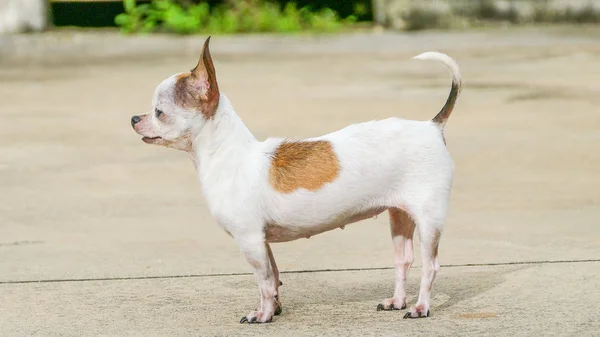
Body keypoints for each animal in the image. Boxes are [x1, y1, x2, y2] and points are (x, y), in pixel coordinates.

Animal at [131, 36, 464, 322]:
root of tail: (431, 126)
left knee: (430, 266)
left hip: (429, 219)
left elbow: (263, 281)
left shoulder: (250, 241)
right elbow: (274, 277)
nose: (134, 118)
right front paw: (274, 309)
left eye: (159, 112)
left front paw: (262, 315)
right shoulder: (262, 241)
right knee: (403, 261)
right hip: (400, 216)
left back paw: (421, 307)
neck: (230, 154)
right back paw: (397, 302)